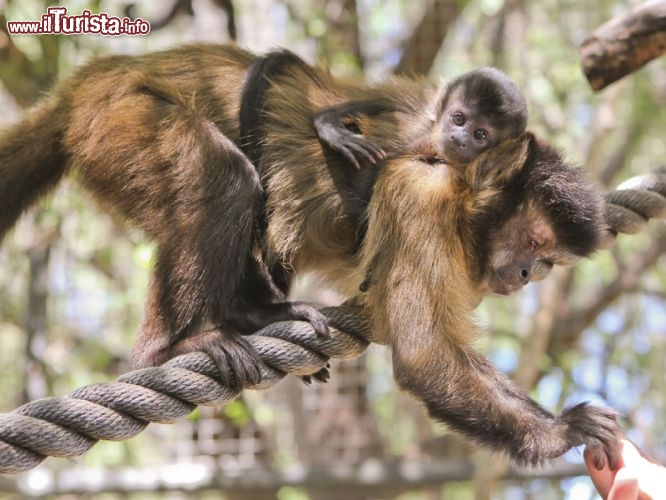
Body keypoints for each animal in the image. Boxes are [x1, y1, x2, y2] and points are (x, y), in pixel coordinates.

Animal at [314, 66, 528, 169]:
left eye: (480, 135)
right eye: (458, 119)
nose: (459, 139)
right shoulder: (422, 110)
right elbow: (383, 100)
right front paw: (329, 125)